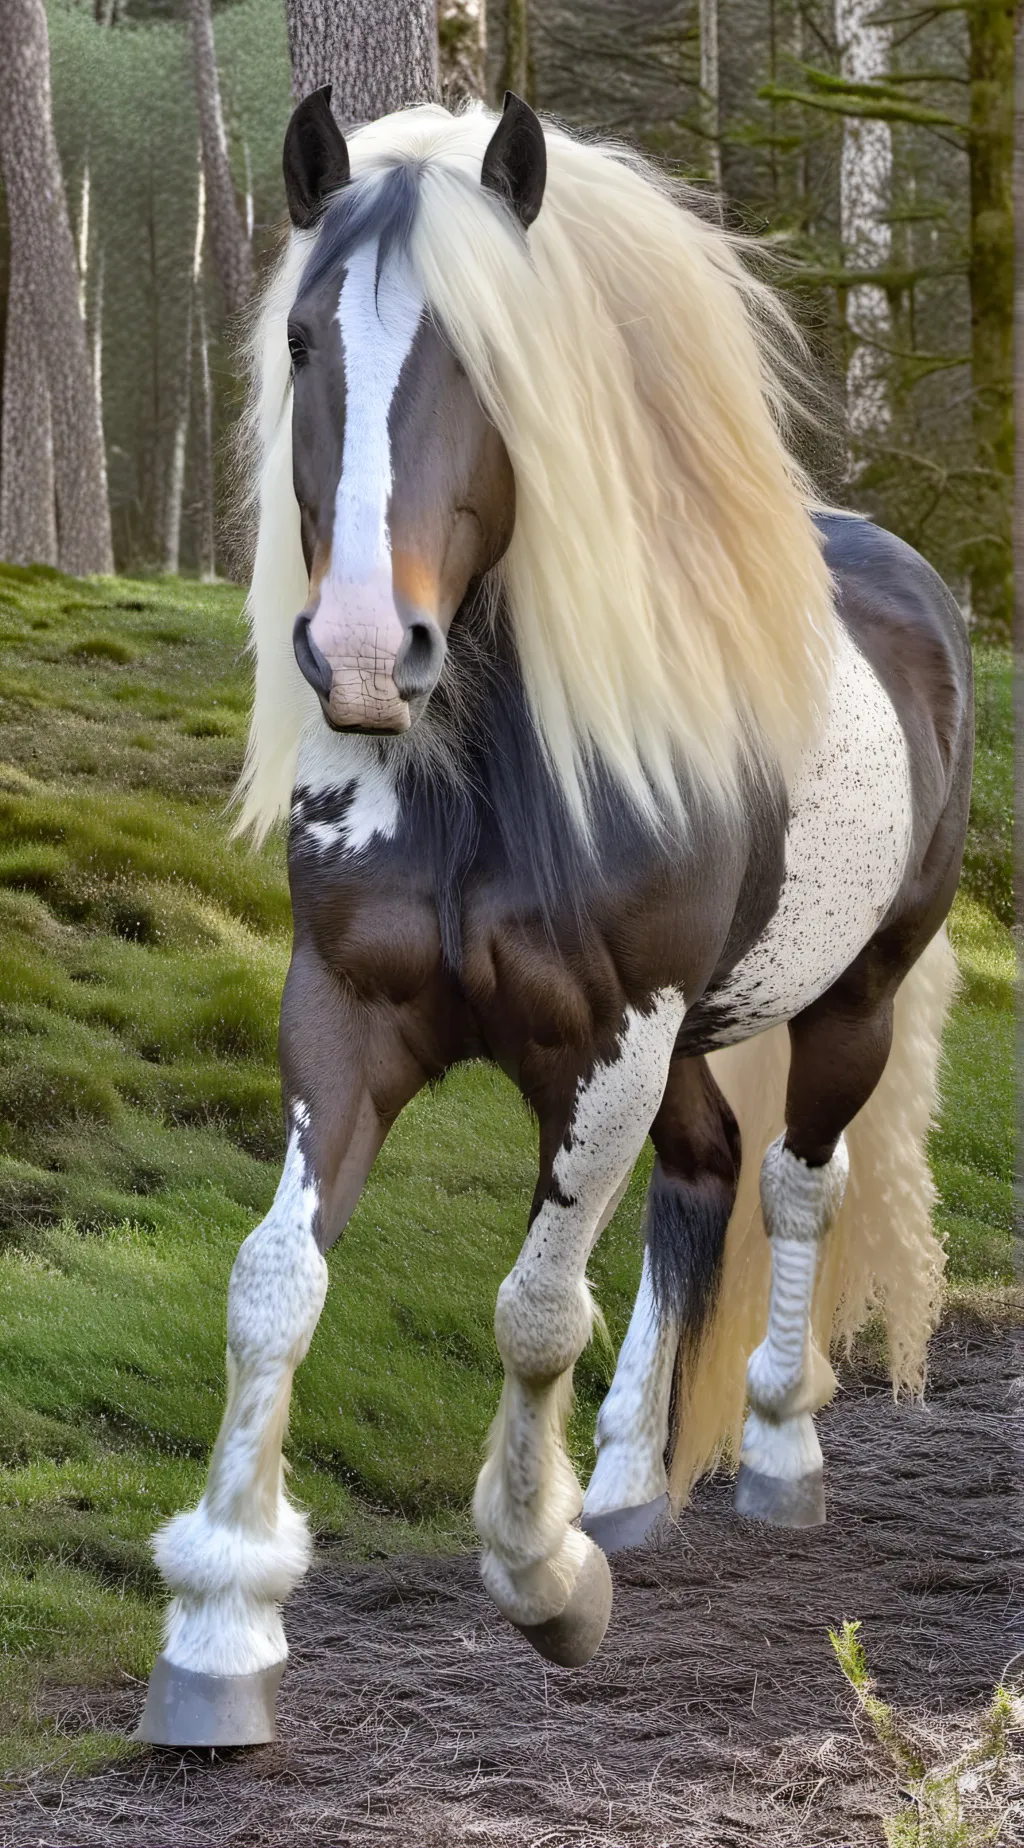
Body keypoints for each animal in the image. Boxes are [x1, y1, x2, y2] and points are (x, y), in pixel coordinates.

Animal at [139, 91, 972, 1748]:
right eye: (303, 340)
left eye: (492, 359)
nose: (359, 654)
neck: (486, 783)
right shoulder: (345, 1014)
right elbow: (273, 1288)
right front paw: (217, 1629)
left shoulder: (607, 1040)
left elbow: (534, 1311)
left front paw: (544, 1573)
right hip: (697, 1039)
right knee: (706, 1177)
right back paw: (641, 1480)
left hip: (846, 997)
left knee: (798, 1185)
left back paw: (776, 1453)